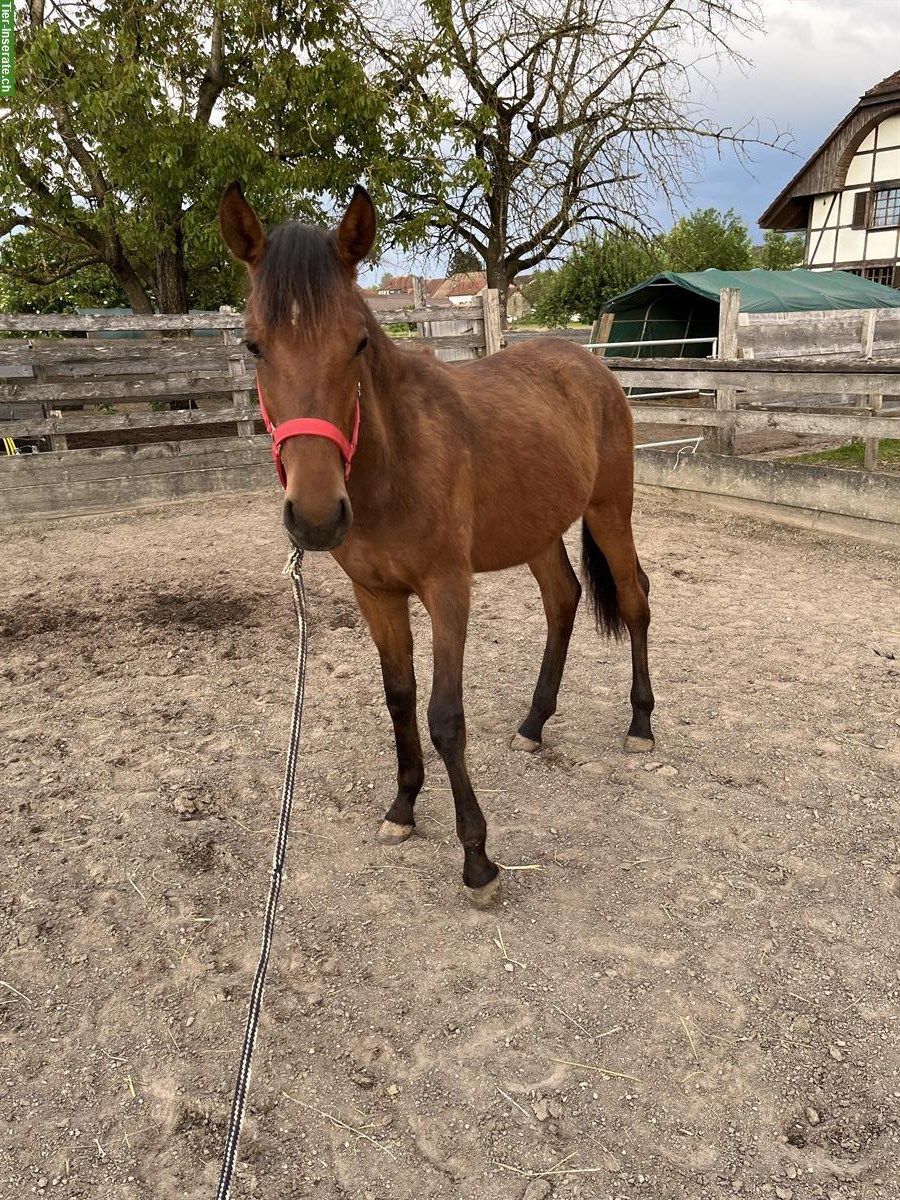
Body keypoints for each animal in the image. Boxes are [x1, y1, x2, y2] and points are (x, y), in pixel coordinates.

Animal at [218, 182, 657, 902]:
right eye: (254, 345)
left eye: (358, 343)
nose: (316, 517)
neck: (394, 463)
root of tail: (585, 362)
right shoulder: (376, 594)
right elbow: (399, 698)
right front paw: (402, 807)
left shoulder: (448, 590)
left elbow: (445, 716)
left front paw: (477, 859)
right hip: (538, 529)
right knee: (562, 600)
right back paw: (534, 725)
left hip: (609, 511)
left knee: (634, 599)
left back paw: (641, 724)